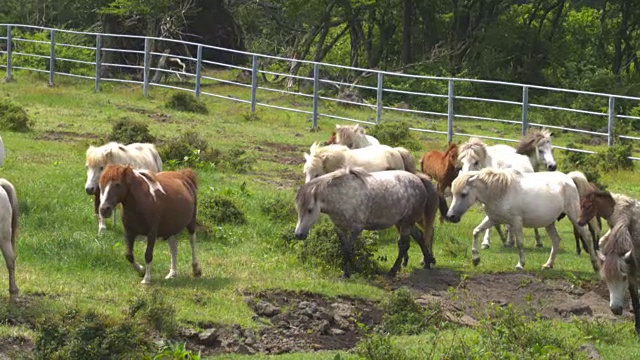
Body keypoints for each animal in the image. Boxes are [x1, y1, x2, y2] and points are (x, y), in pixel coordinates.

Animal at [294, 167, 440, 278]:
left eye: (310, 209)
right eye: (298, 209)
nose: (299, 235)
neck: (343, 196)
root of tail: (419, 180)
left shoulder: (356, 228)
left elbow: (349, 248)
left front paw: (349, 272)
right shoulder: (340, 228)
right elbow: (344, 248)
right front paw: (349, 270)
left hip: (406, 223)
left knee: (404, 245)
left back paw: (393, 271)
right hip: (403, 222)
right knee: (419, 236)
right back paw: (428, 262)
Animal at [444, 169, 600, 272]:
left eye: (464, 194)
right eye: (453, 193)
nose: (451, 216)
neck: (502, 191)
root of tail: (568, 179)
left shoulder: (516, 222)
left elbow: (519, 243)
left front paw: (520, 264)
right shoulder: (493, 219)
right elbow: (476, 232)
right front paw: (475, 259)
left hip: (574, 215)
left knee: (587, 236)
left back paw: (595, 265)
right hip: (549, 222)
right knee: (556, 241)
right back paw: (548, 265)